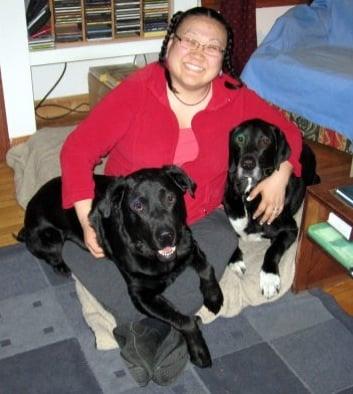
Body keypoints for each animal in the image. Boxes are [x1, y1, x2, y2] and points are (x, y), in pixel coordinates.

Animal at [16, 165, 223, 368]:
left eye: (171, 198)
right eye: (138, 206)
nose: (166, 236)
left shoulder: (189, 245)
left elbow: (206, 267)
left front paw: (214, 298)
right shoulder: (140, 296)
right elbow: (183, 320)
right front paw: (199, 351)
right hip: (50, 238)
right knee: (51, 254)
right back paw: (61, 267)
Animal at [223, 120, 320, 298]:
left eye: (265, 141)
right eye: (240, 139)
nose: (247, 164)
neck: (249, 196)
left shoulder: (290, 229)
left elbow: (272, 250)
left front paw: (269, 278)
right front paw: (235, 261)